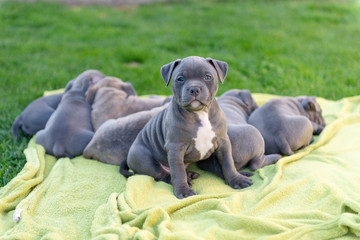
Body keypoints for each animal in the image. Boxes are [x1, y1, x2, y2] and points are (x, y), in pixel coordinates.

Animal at [119, 55, 252, 199]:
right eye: (180, 79)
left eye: (207, 77)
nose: (194, 89)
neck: (200, 113)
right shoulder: (175, 148)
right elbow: (178, 172)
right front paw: (184, 191)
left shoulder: (223, 142)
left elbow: (228, 162)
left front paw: (236, 179)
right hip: (144, 158)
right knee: (163, 174)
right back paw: (186, 179)